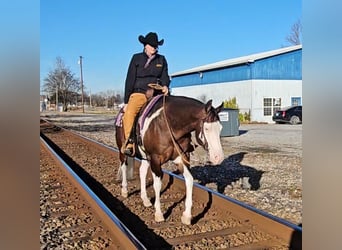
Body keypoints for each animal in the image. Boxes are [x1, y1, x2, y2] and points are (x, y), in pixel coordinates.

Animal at [115, 94, 224, 226]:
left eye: (220, 128)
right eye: (207, 129)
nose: (218, 157)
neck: (169, 126)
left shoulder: (181, 158)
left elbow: (189, 180)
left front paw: (186, 216)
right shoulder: (155, 159)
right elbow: (157, 184)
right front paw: (159, 214)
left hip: (146, 156)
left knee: (142, 172)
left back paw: (145, 199)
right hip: (122, 150)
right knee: (124, 166)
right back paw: (125, 190)